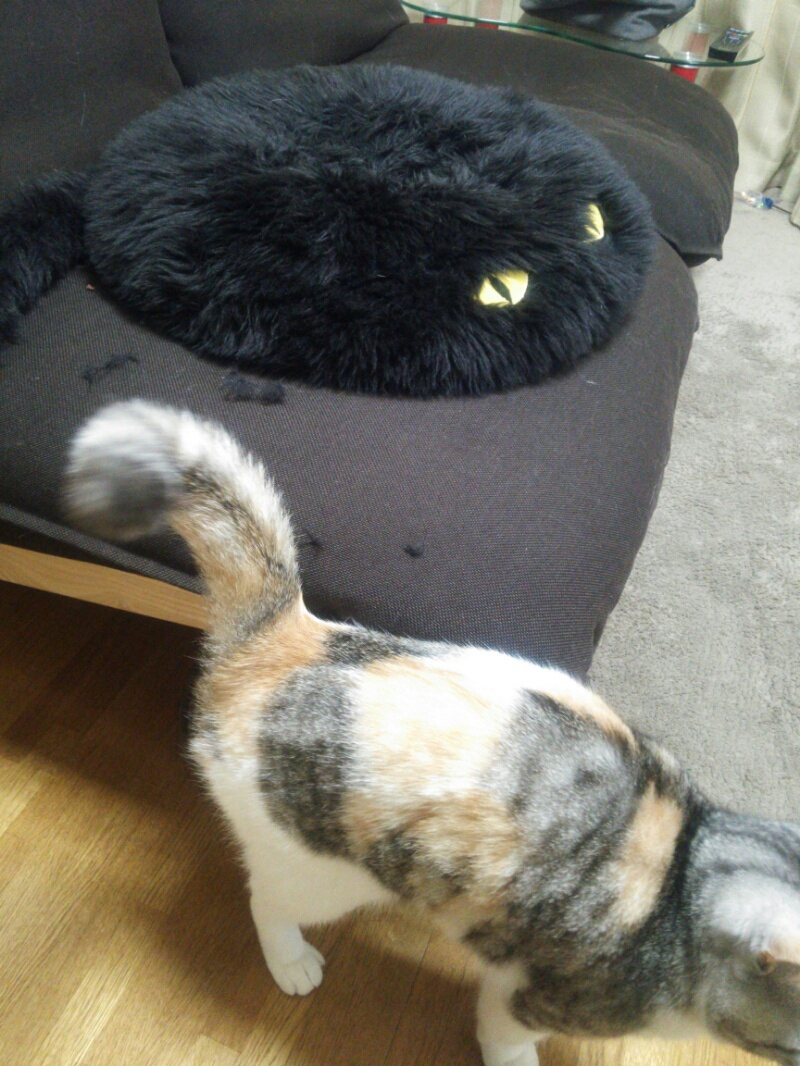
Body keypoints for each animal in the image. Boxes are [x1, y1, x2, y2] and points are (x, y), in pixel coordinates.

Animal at [65, 400, 800, 1066]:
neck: (683, 872)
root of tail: (288, 635)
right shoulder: (528, 995)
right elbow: (505, 1040)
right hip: (319, 874)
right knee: (263, 900)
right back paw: (291, 960)